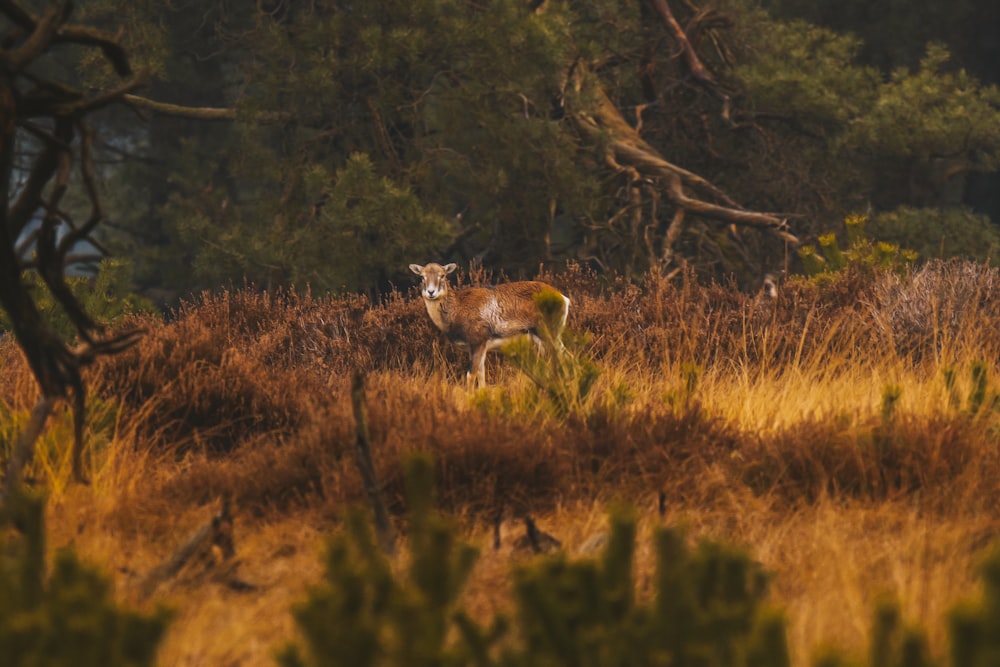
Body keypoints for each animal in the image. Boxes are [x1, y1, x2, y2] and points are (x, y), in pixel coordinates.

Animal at [408, 260, 572, 386]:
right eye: (422, 277)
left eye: (442, 275)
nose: (431, 292)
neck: (456, 312)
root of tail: (564, 299)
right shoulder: (479, 348)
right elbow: (481, 376)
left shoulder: (478, 341)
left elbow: (471, 375)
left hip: (549, 333)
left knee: (566, 356)